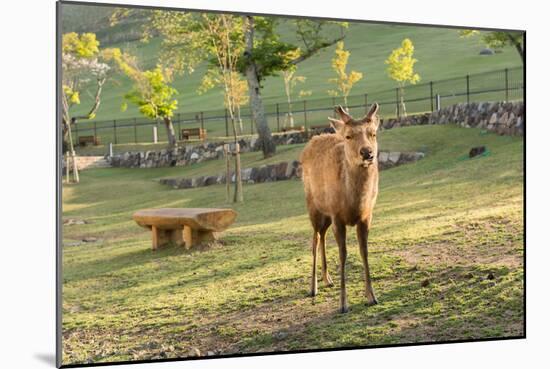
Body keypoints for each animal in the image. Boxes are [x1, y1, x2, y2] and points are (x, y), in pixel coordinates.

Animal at [300, 103, 382, 314]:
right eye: (348, 136)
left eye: (373, 133)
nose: (367, 153)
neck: (354, 202)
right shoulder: (337, 215)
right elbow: (343, 254)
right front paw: (343, 304)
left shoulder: (366, 215)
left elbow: (364, 251)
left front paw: (372, 297)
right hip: (313, 207)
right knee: (314, 239)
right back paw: (313, 287)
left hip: (326, 215)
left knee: (322, 236)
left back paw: (327, 279)